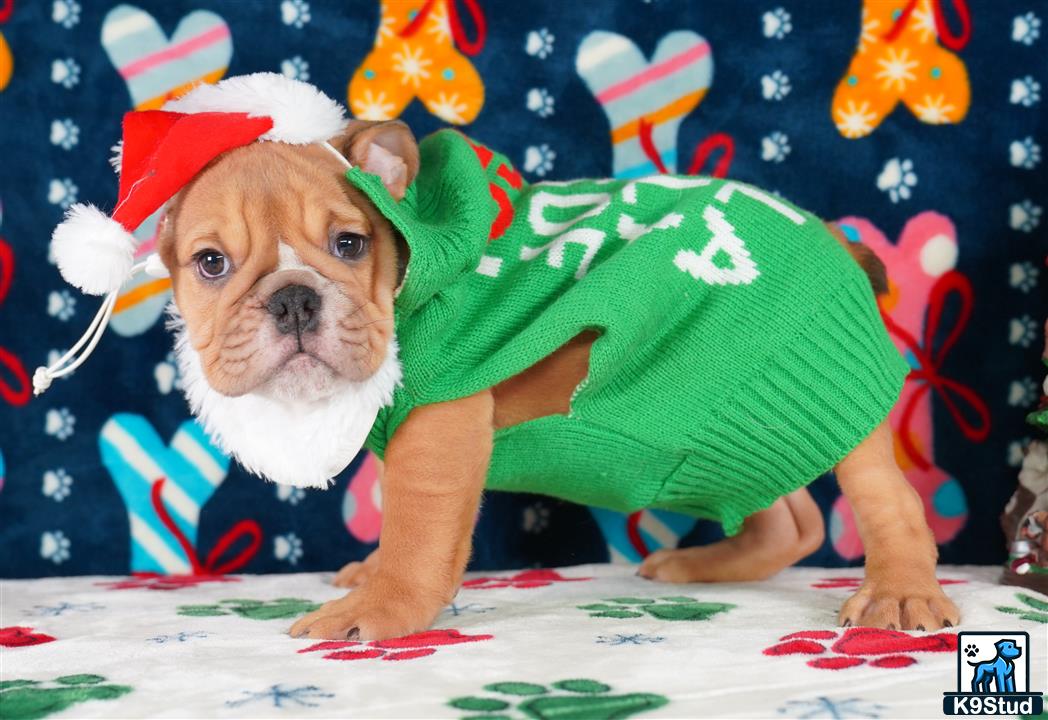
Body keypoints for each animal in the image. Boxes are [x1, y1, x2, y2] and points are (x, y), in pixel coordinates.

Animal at [161, 119, 959, 641]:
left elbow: (419, 527)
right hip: (728, 422)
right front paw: (375, 573)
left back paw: (899, 592)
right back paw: (706, 565)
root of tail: (836, 238)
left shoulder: (441, 420)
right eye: (210, 264)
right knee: (789, 516)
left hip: (818, 377)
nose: (294, 298)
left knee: (883, 496)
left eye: (350, 244)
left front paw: (383, 608)